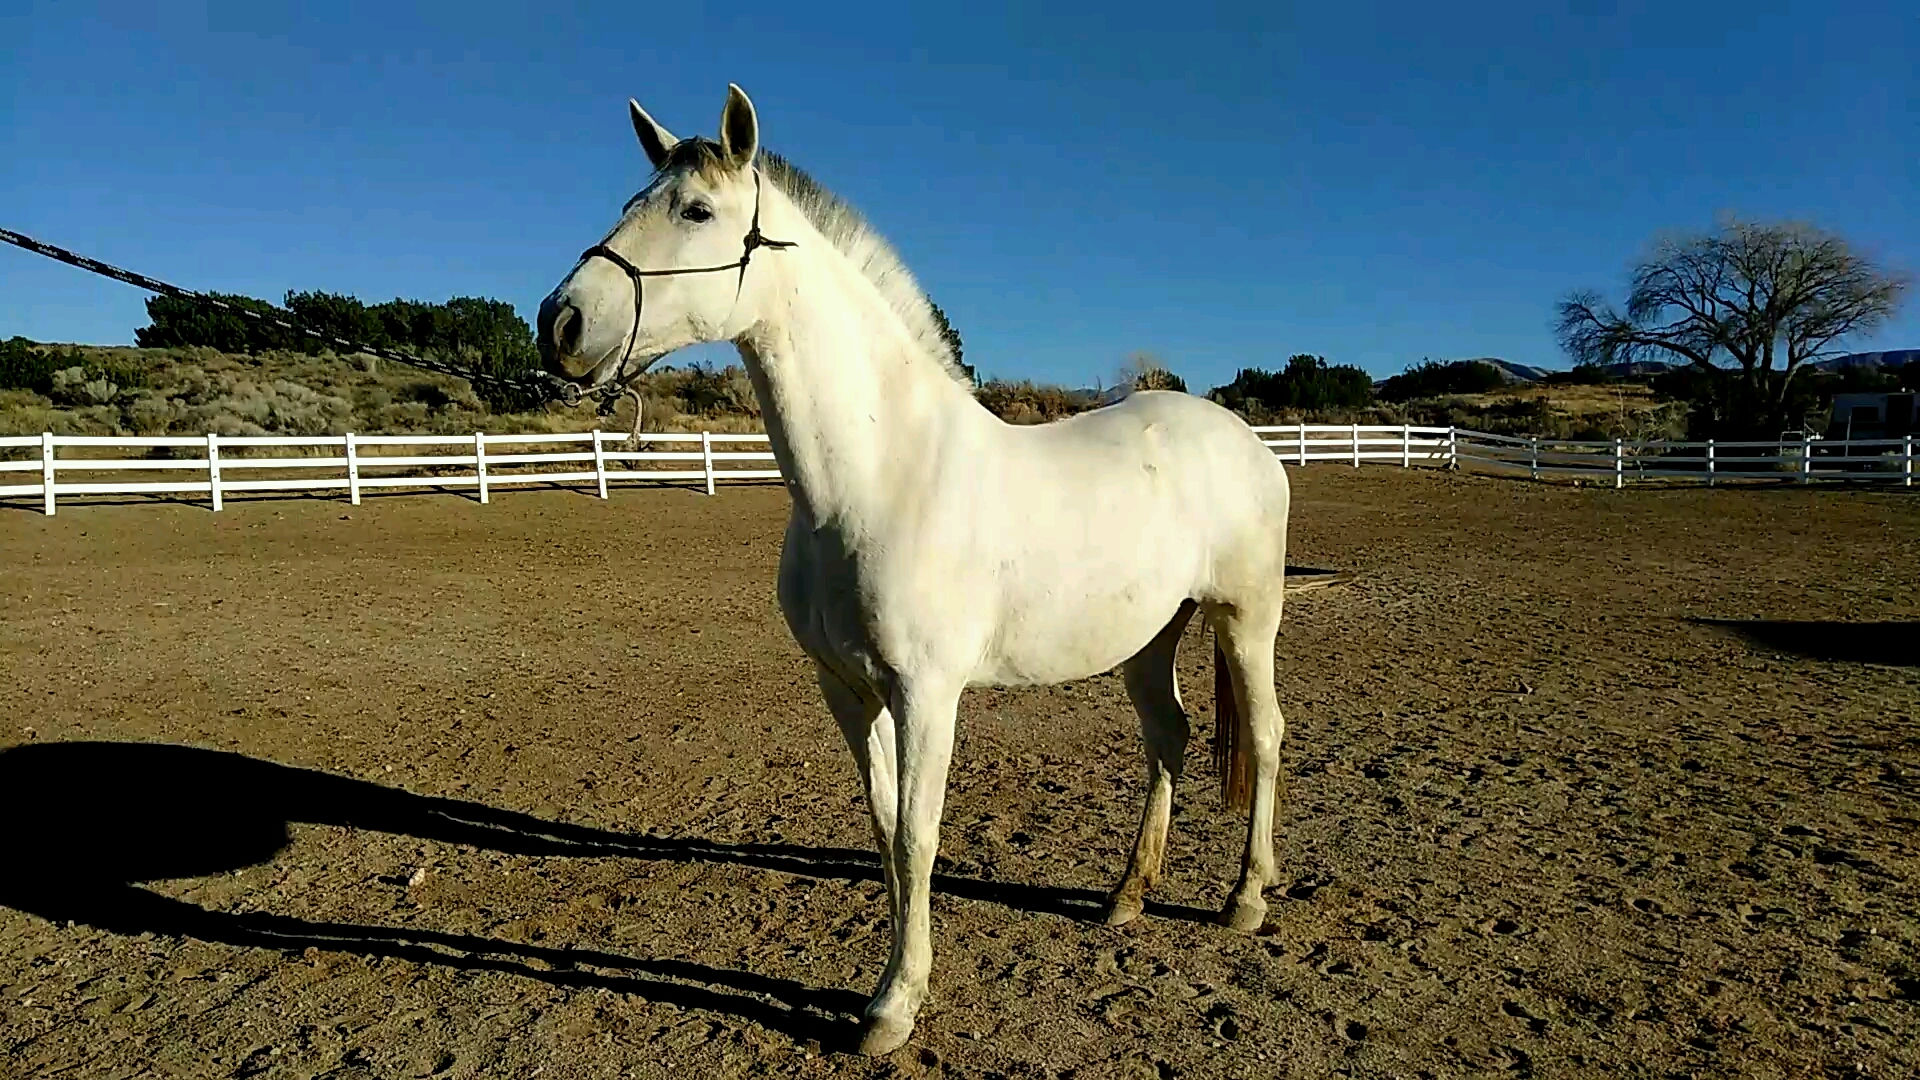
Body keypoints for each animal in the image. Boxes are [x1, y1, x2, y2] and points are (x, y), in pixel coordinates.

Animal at [535, 84, 1293, 1057]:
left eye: (696, 210)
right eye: (632, 202)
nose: (560, 322)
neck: (879, 474)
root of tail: (1247, 442)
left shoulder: (928, 693)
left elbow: (918, 835)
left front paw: (895, 1006)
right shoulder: (847, 690)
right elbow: (883, 821)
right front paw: (893, 980)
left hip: (1246, 618)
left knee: (1265, 737)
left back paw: (1245, 900)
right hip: (1148, 639)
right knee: (1170, 737)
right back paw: (1127, 897)